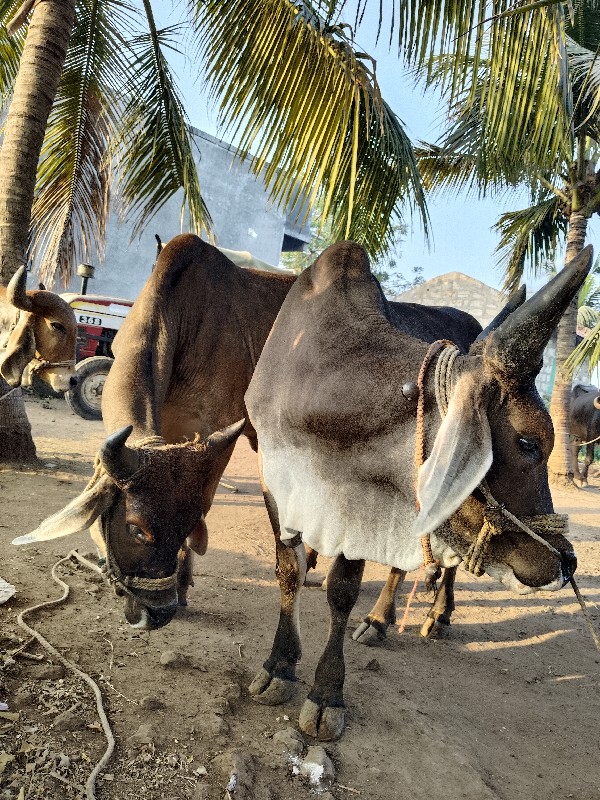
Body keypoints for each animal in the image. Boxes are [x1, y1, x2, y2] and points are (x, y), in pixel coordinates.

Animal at [245, 241, 592, 740]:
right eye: (529, 441)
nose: (566, 561)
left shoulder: (362, 504)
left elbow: (342, 591)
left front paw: (326, 694)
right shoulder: (274, 482)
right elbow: (288, 572)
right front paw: (278, 667)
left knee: (439, 567)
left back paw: (430, 615)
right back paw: (380, 620)